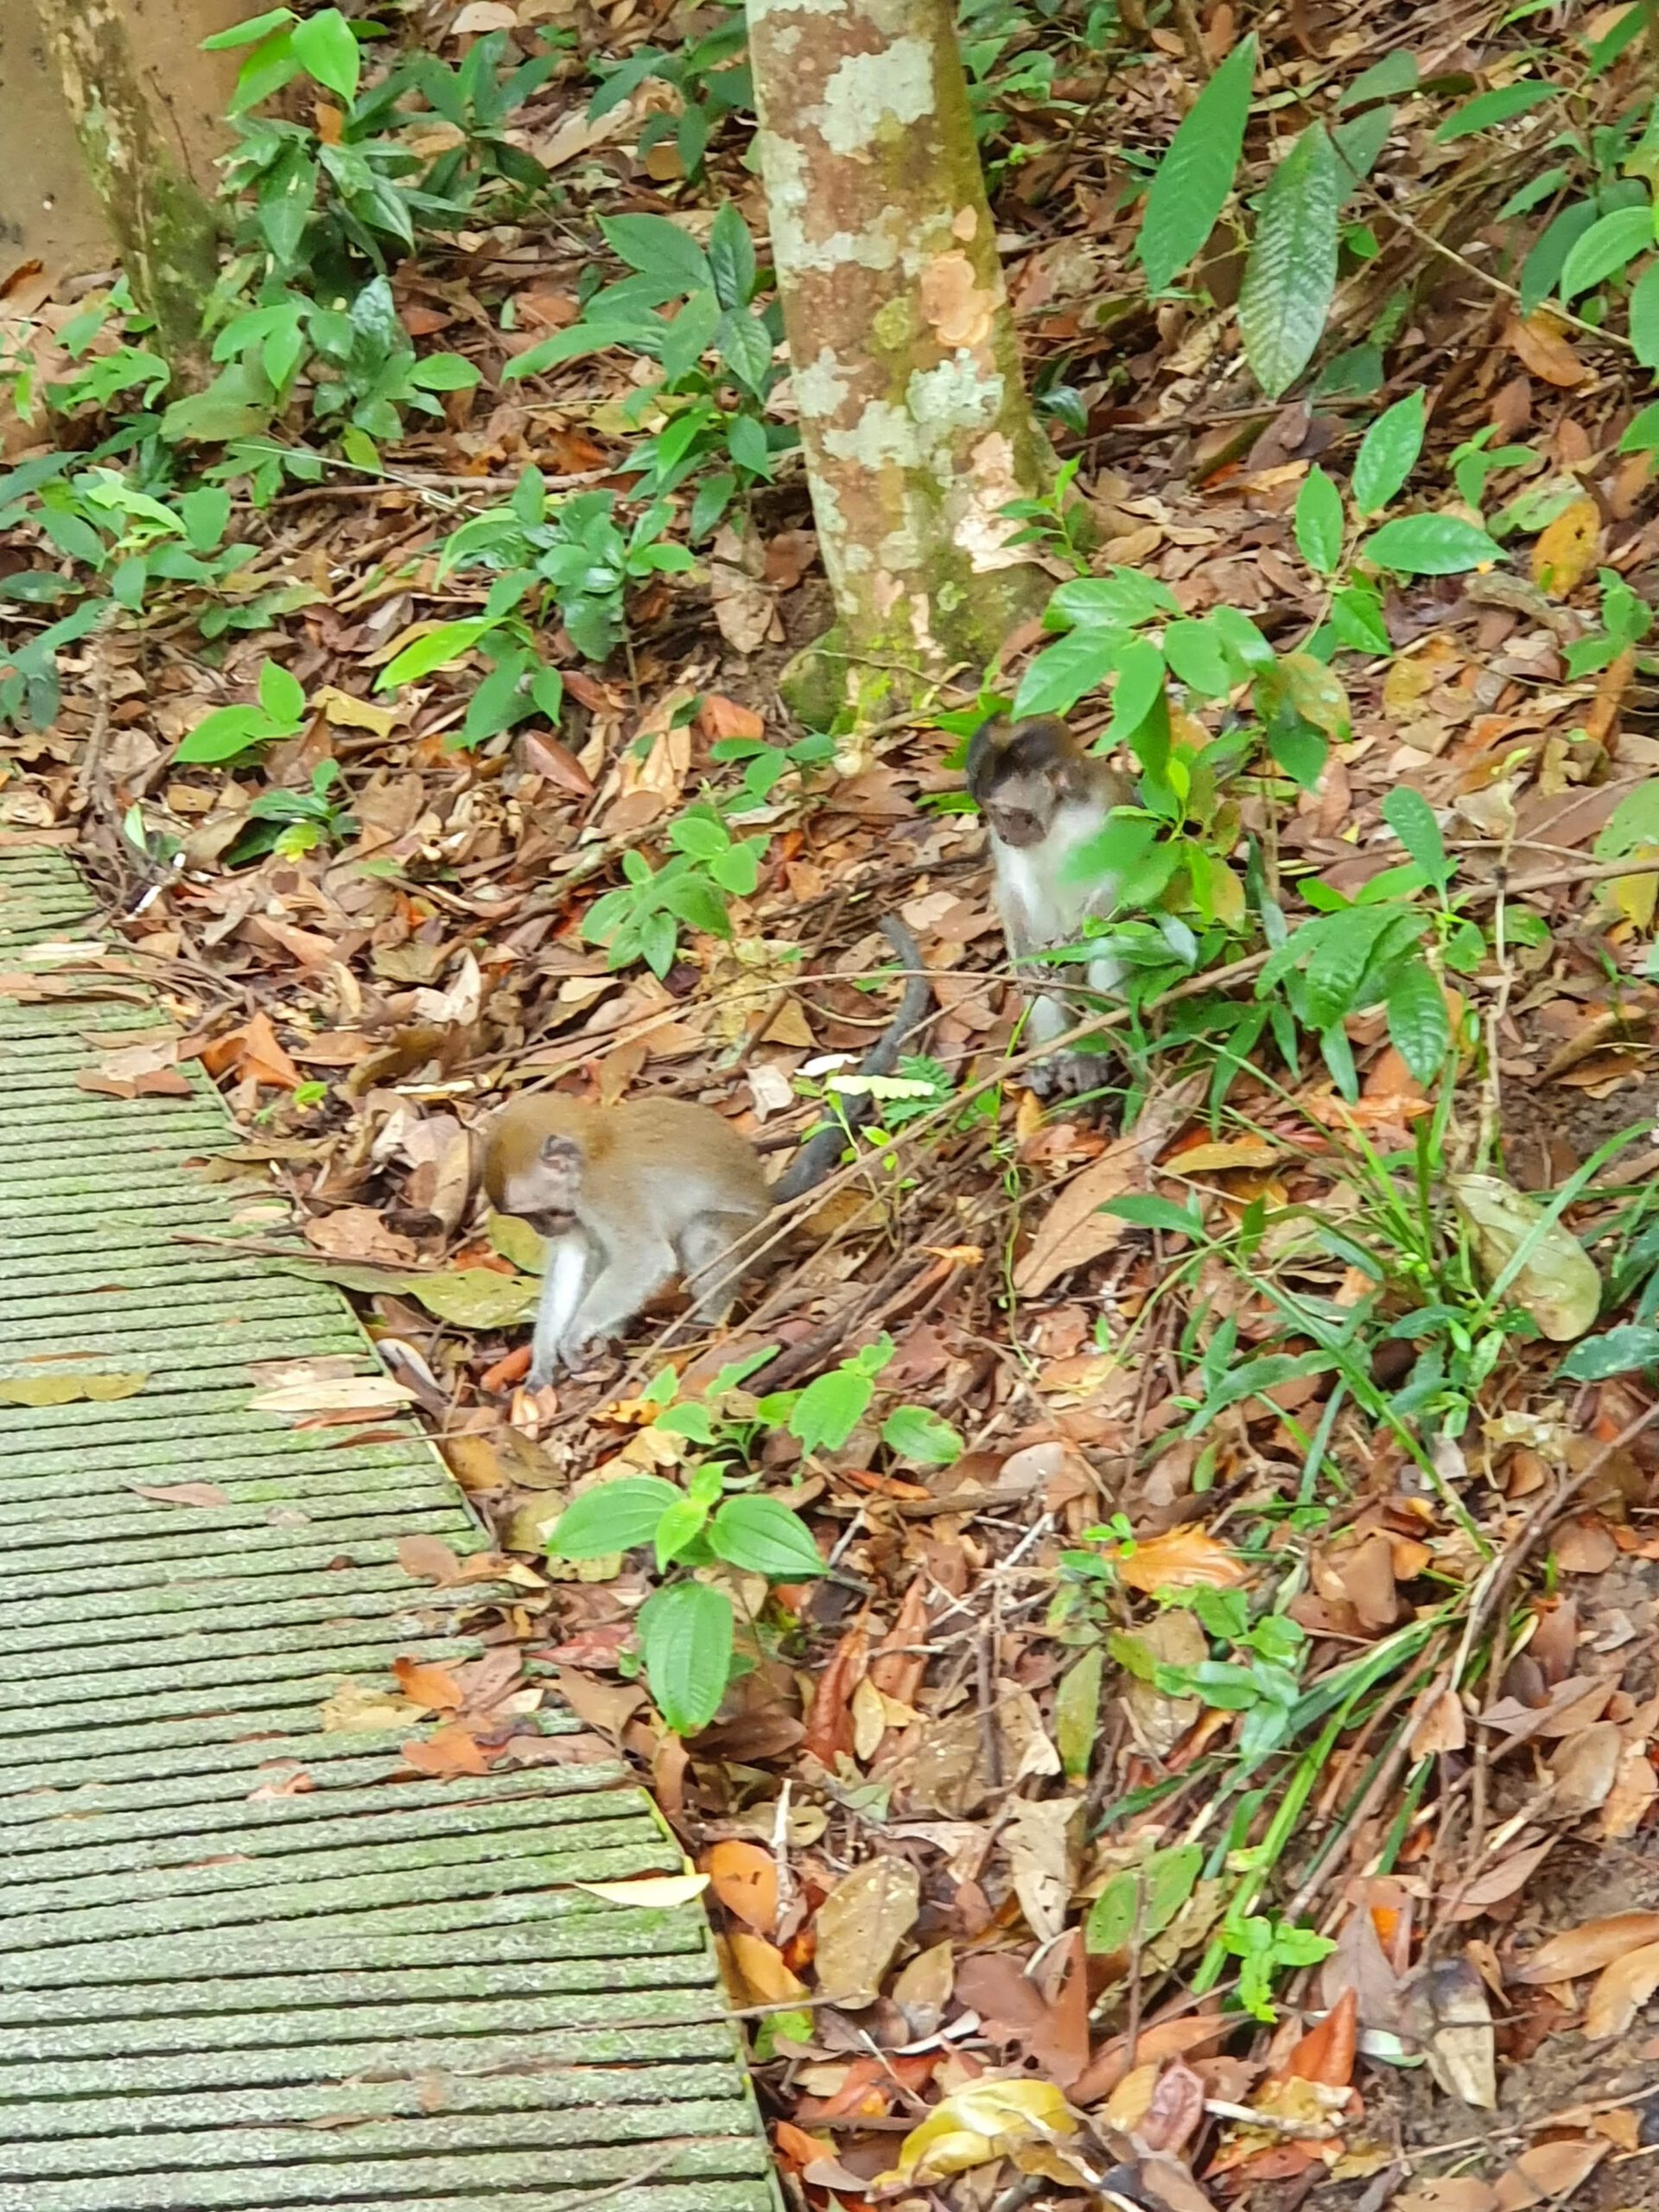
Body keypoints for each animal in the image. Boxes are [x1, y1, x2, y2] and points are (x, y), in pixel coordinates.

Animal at [484, 906, 938, 1371]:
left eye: (539, 1214)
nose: (544, 1231)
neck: (590, 1150)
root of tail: (768, 1200)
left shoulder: (605, 1194)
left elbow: (645, 1258)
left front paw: (575, 1335)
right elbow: (576, 1257)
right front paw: (544, 1360)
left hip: (754, 1237)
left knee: (704, 1232)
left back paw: (707, 1322)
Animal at [969, 712, 1141, 1092]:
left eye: (1013, 813)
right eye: (992, 813)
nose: (1006, 834)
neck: (1060, 815)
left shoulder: (1109, 809)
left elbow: (1120, 880)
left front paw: (1076, 939)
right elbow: (1010, 890)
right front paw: (1027, 958)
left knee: (1107, 952)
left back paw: (1091, 1053)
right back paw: (1052, 1059)